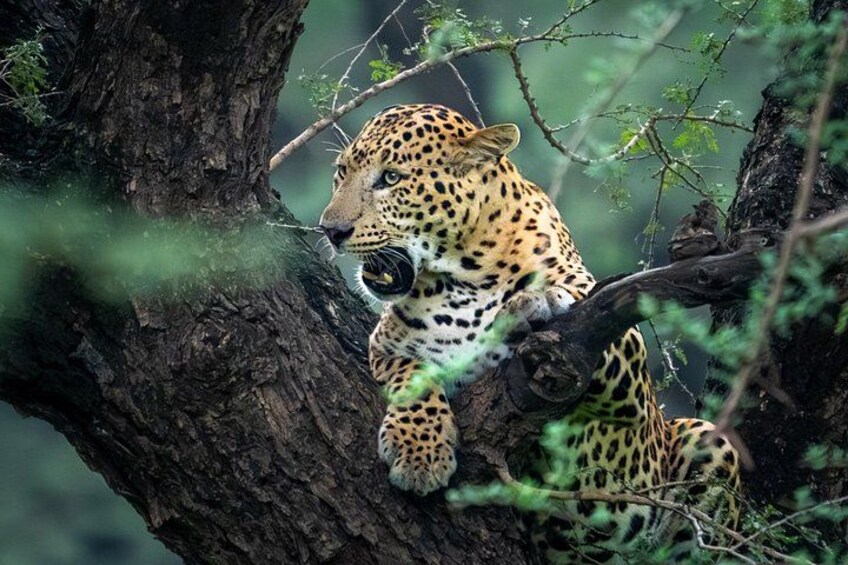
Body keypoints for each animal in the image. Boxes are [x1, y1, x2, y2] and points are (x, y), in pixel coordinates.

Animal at [319, 103, 741, 563]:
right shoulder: (385, 347)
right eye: (340, 172)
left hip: (705, 443)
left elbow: (580, 308)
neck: (460, 275)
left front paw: (540, 301)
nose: (330, 230)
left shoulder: (623, 365)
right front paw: (419, 454)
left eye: (391, 178)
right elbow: (413, 378)